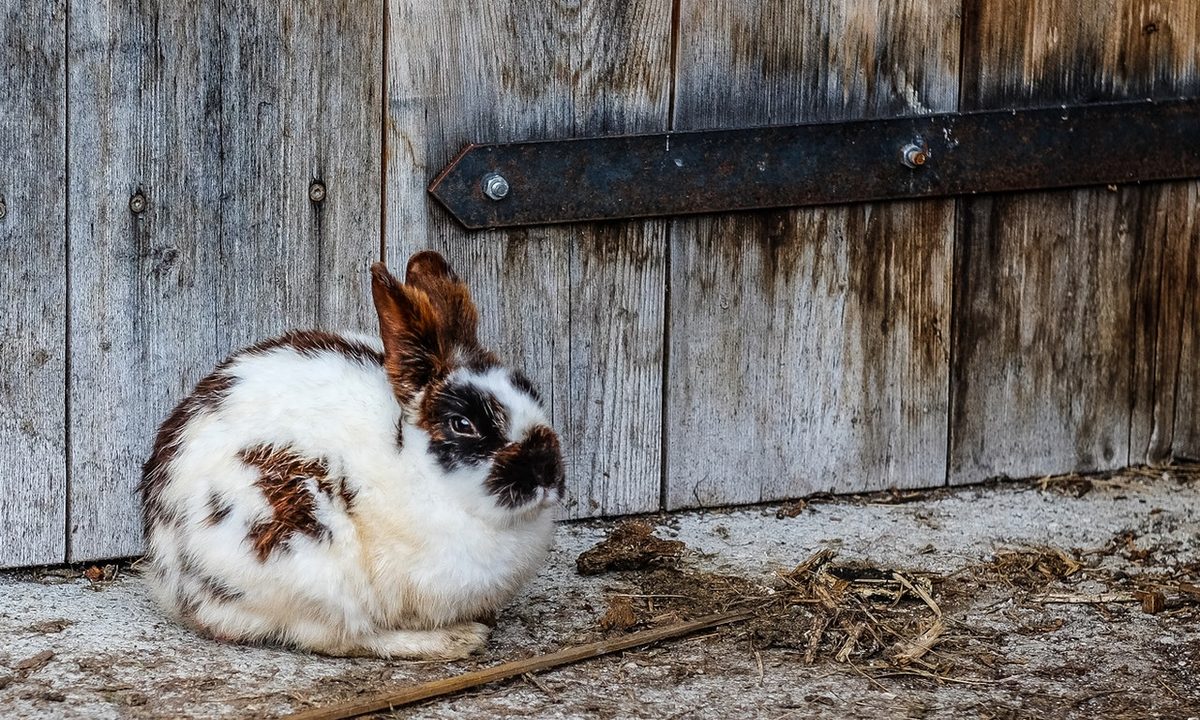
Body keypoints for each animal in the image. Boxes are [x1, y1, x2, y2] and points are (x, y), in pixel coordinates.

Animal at [138, 251, 565, 659]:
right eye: (463, 424)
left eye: (532, 393)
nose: (546, 471)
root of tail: (170, 575)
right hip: (309, 556)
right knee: (344, 637)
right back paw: (455, 640)